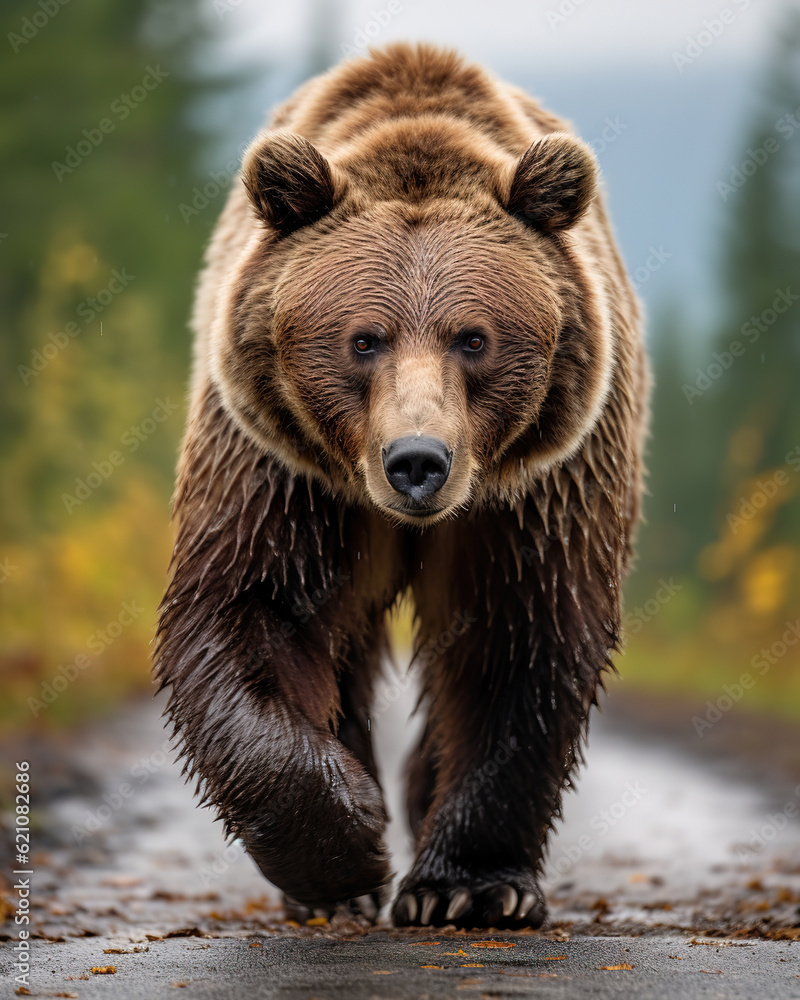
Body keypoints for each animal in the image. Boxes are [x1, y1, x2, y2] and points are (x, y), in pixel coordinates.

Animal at [155, 42, 648, 929]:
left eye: (474, 338)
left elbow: (520, 640)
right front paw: (344, 855)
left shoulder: (535, 490)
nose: (418, 461)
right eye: (364, 339)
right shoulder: (283, 472)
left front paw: (471, 886)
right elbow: (249, 611)